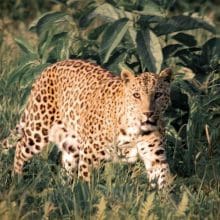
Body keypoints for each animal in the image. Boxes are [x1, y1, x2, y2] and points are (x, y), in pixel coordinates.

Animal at [11, 58, 173, 189]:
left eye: (158, 95)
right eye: (136, 95)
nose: (148, 113)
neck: (136, 130)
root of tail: (50, 67)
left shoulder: (155, 158)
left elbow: (163, 180)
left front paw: (166, 203)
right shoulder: (90, 153)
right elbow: (85, 181)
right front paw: (85, 198)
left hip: (71, 143)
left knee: (66, 164)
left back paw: (65, 189)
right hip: (38, 128)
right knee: (20, 148)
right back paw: (17, 181)